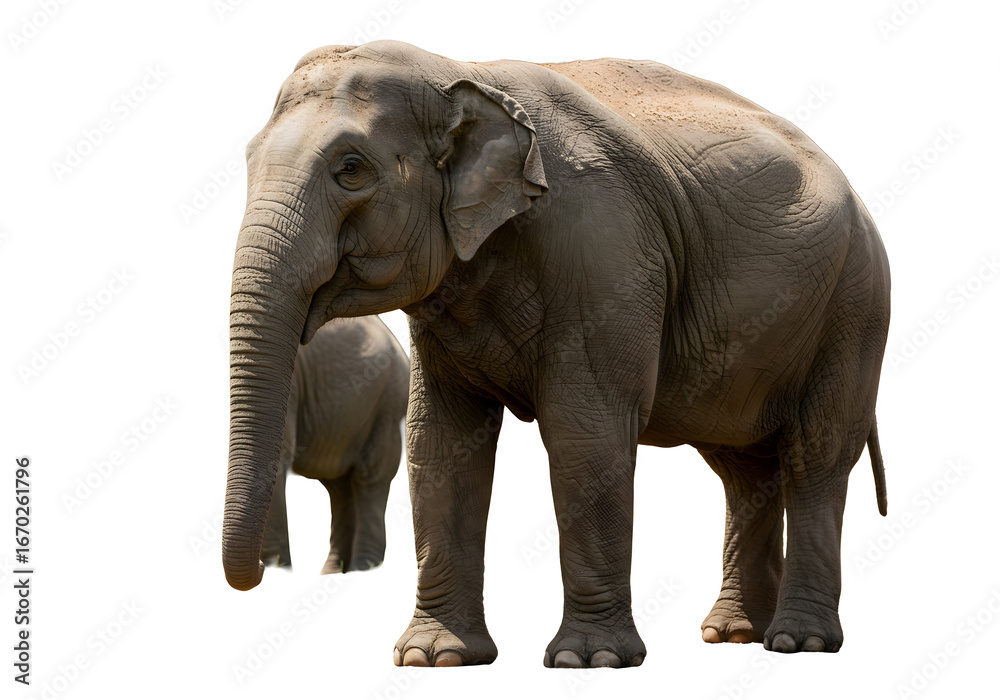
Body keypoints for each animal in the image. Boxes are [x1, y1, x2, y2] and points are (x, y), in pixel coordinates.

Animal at [248, 315, 408, 574]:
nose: (262, 567)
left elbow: (282, 452)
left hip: (388, 404)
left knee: (370, 478)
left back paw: (363, 569)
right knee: (340, 486)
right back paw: (334, 572)